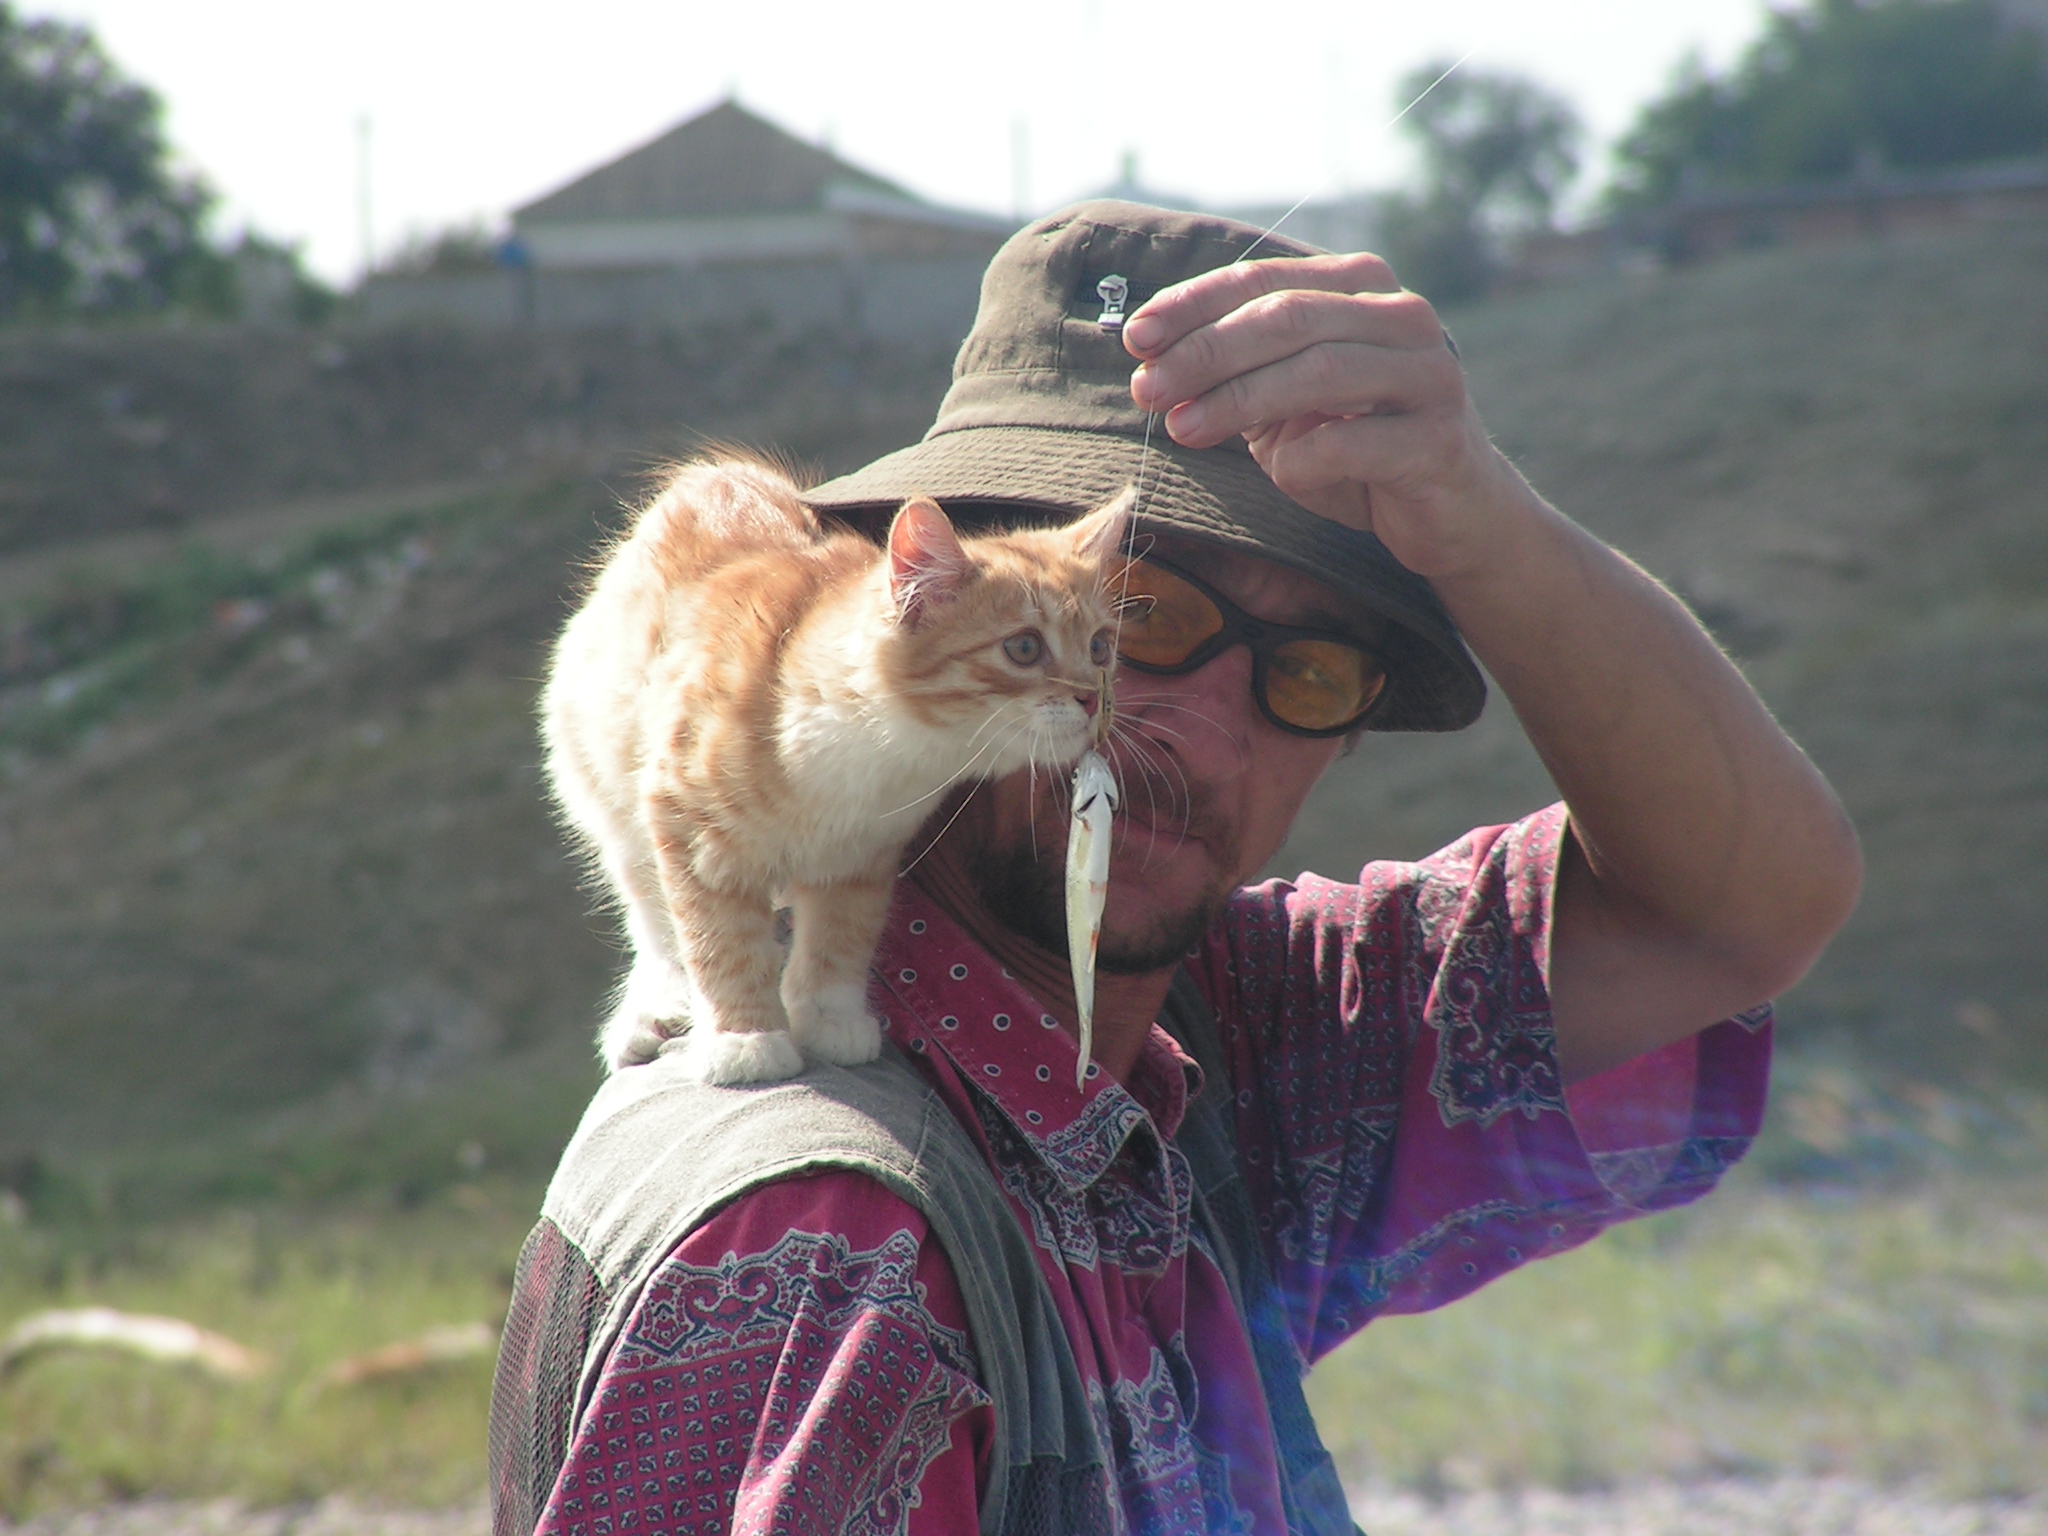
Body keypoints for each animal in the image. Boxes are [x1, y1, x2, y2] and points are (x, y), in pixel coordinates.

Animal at [541, 454, 1130, 1085]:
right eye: (1023, 648)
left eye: (1100, 647)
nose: (1093, 699)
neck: (872, 759)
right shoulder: (690, 832)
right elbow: (719, 940)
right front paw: (745, 1037)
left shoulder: (862, 858)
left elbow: (840, 938)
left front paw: (830, 1019)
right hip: (607, 796)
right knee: (651, 915)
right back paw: (652, 1010)